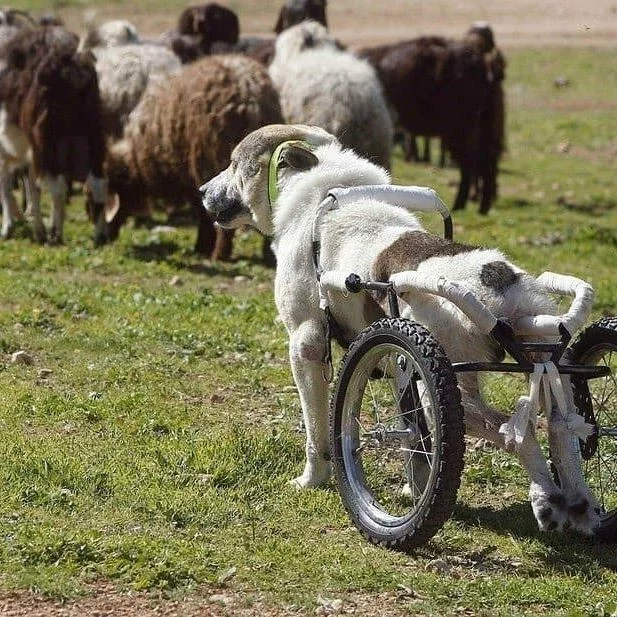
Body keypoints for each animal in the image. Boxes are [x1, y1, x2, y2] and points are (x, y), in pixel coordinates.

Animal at [0, 26, 106, 244]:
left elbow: (6, 184)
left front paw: (8, 227)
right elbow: (33, 187)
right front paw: (36, 229)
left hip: (45, 137)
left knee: (58, 188)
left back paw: (55, 234)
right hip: (92, 131)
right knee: (97, 183)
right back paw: (99, 235)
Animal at [97, 53, 282, 262]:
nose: (101, 239)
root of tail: (250, 94)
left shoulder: (190, 177)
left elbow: (203, 213)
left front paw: (201, 247)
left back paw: (220, 254)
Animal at [202, 124, 600, 536]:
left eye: (233, 162)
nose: (201, 190)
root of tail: (503, 284)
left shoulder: (306, 346)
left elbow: (317, 433)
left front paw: (312, 480)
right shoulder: (397, 357)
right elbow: (414, 438)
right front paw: (415, 488)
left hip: (442, 384)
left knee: (516, 432)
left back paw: (547, 500)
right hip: (544, 358)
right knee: (562, 428)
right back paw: (579, 502)